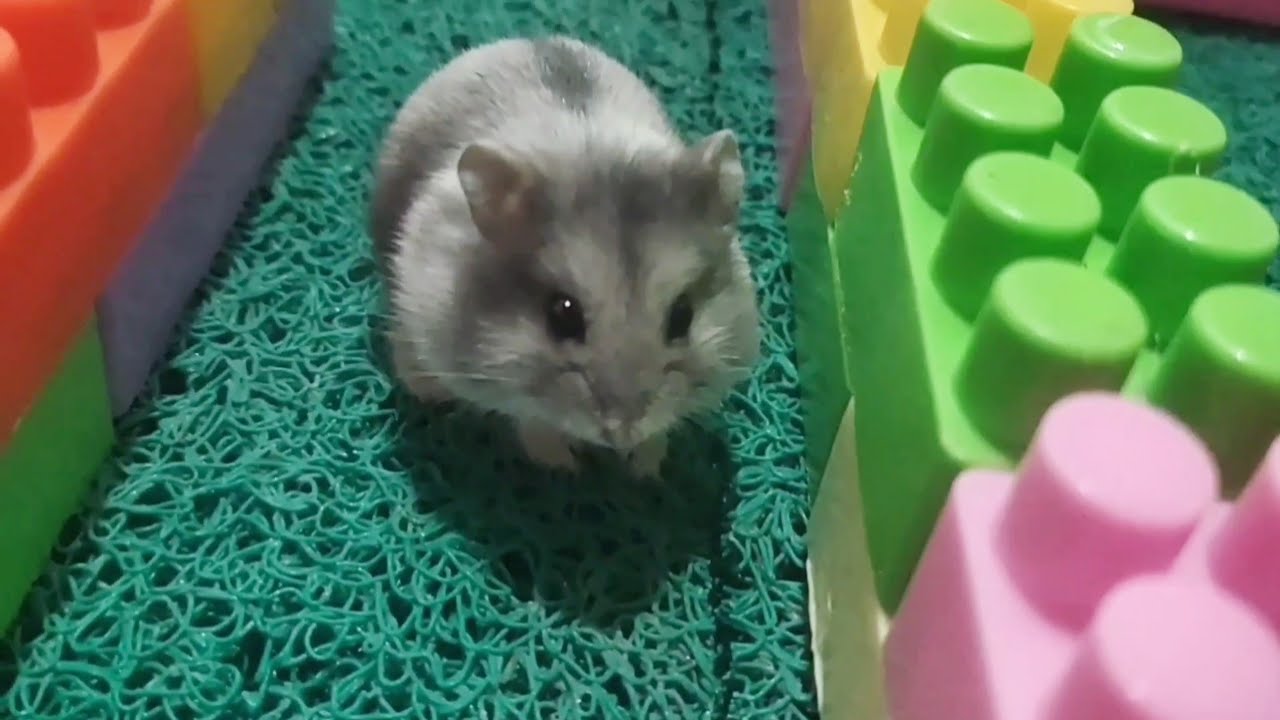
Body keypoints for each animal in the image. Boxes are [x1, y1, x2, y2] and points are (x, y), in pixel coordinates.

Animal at [369, 36, 761, 478]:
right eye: (562, 314)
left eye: (683, 317)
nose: (621, 432)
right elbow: (532, 417)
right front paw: (563, 467)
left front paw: (644, 467)